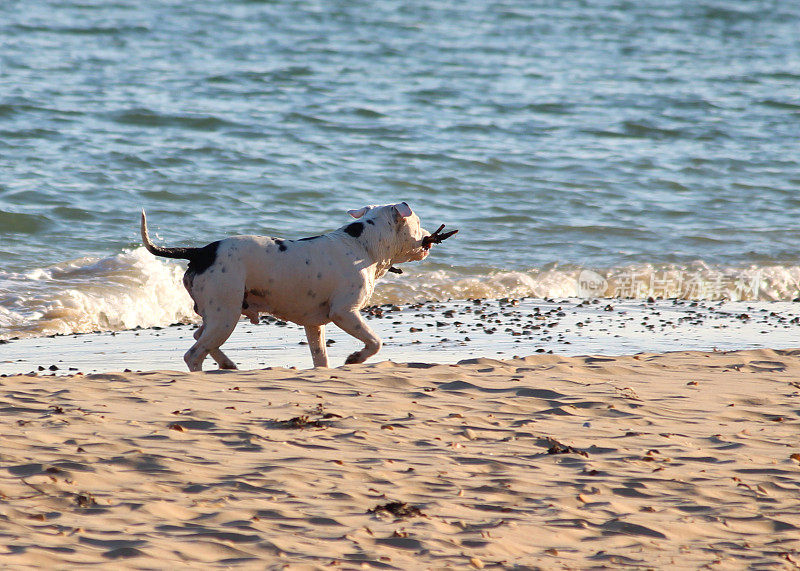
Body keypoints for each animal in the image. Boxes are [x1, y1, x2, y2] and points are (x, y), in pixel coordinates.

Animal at [139, 203, 456, 374]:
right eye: (418, 222)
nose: (429, 237)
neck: (363, 244)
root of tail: (202, 252)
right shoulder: (345, 313)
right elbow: (375, 341)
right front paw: (355, 359)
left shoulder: (315, 325)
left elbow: (320, 356)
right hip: (225, 314)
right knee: (194, 353)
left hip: (220, 314)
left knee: (201, 338)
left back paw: (227, 363)